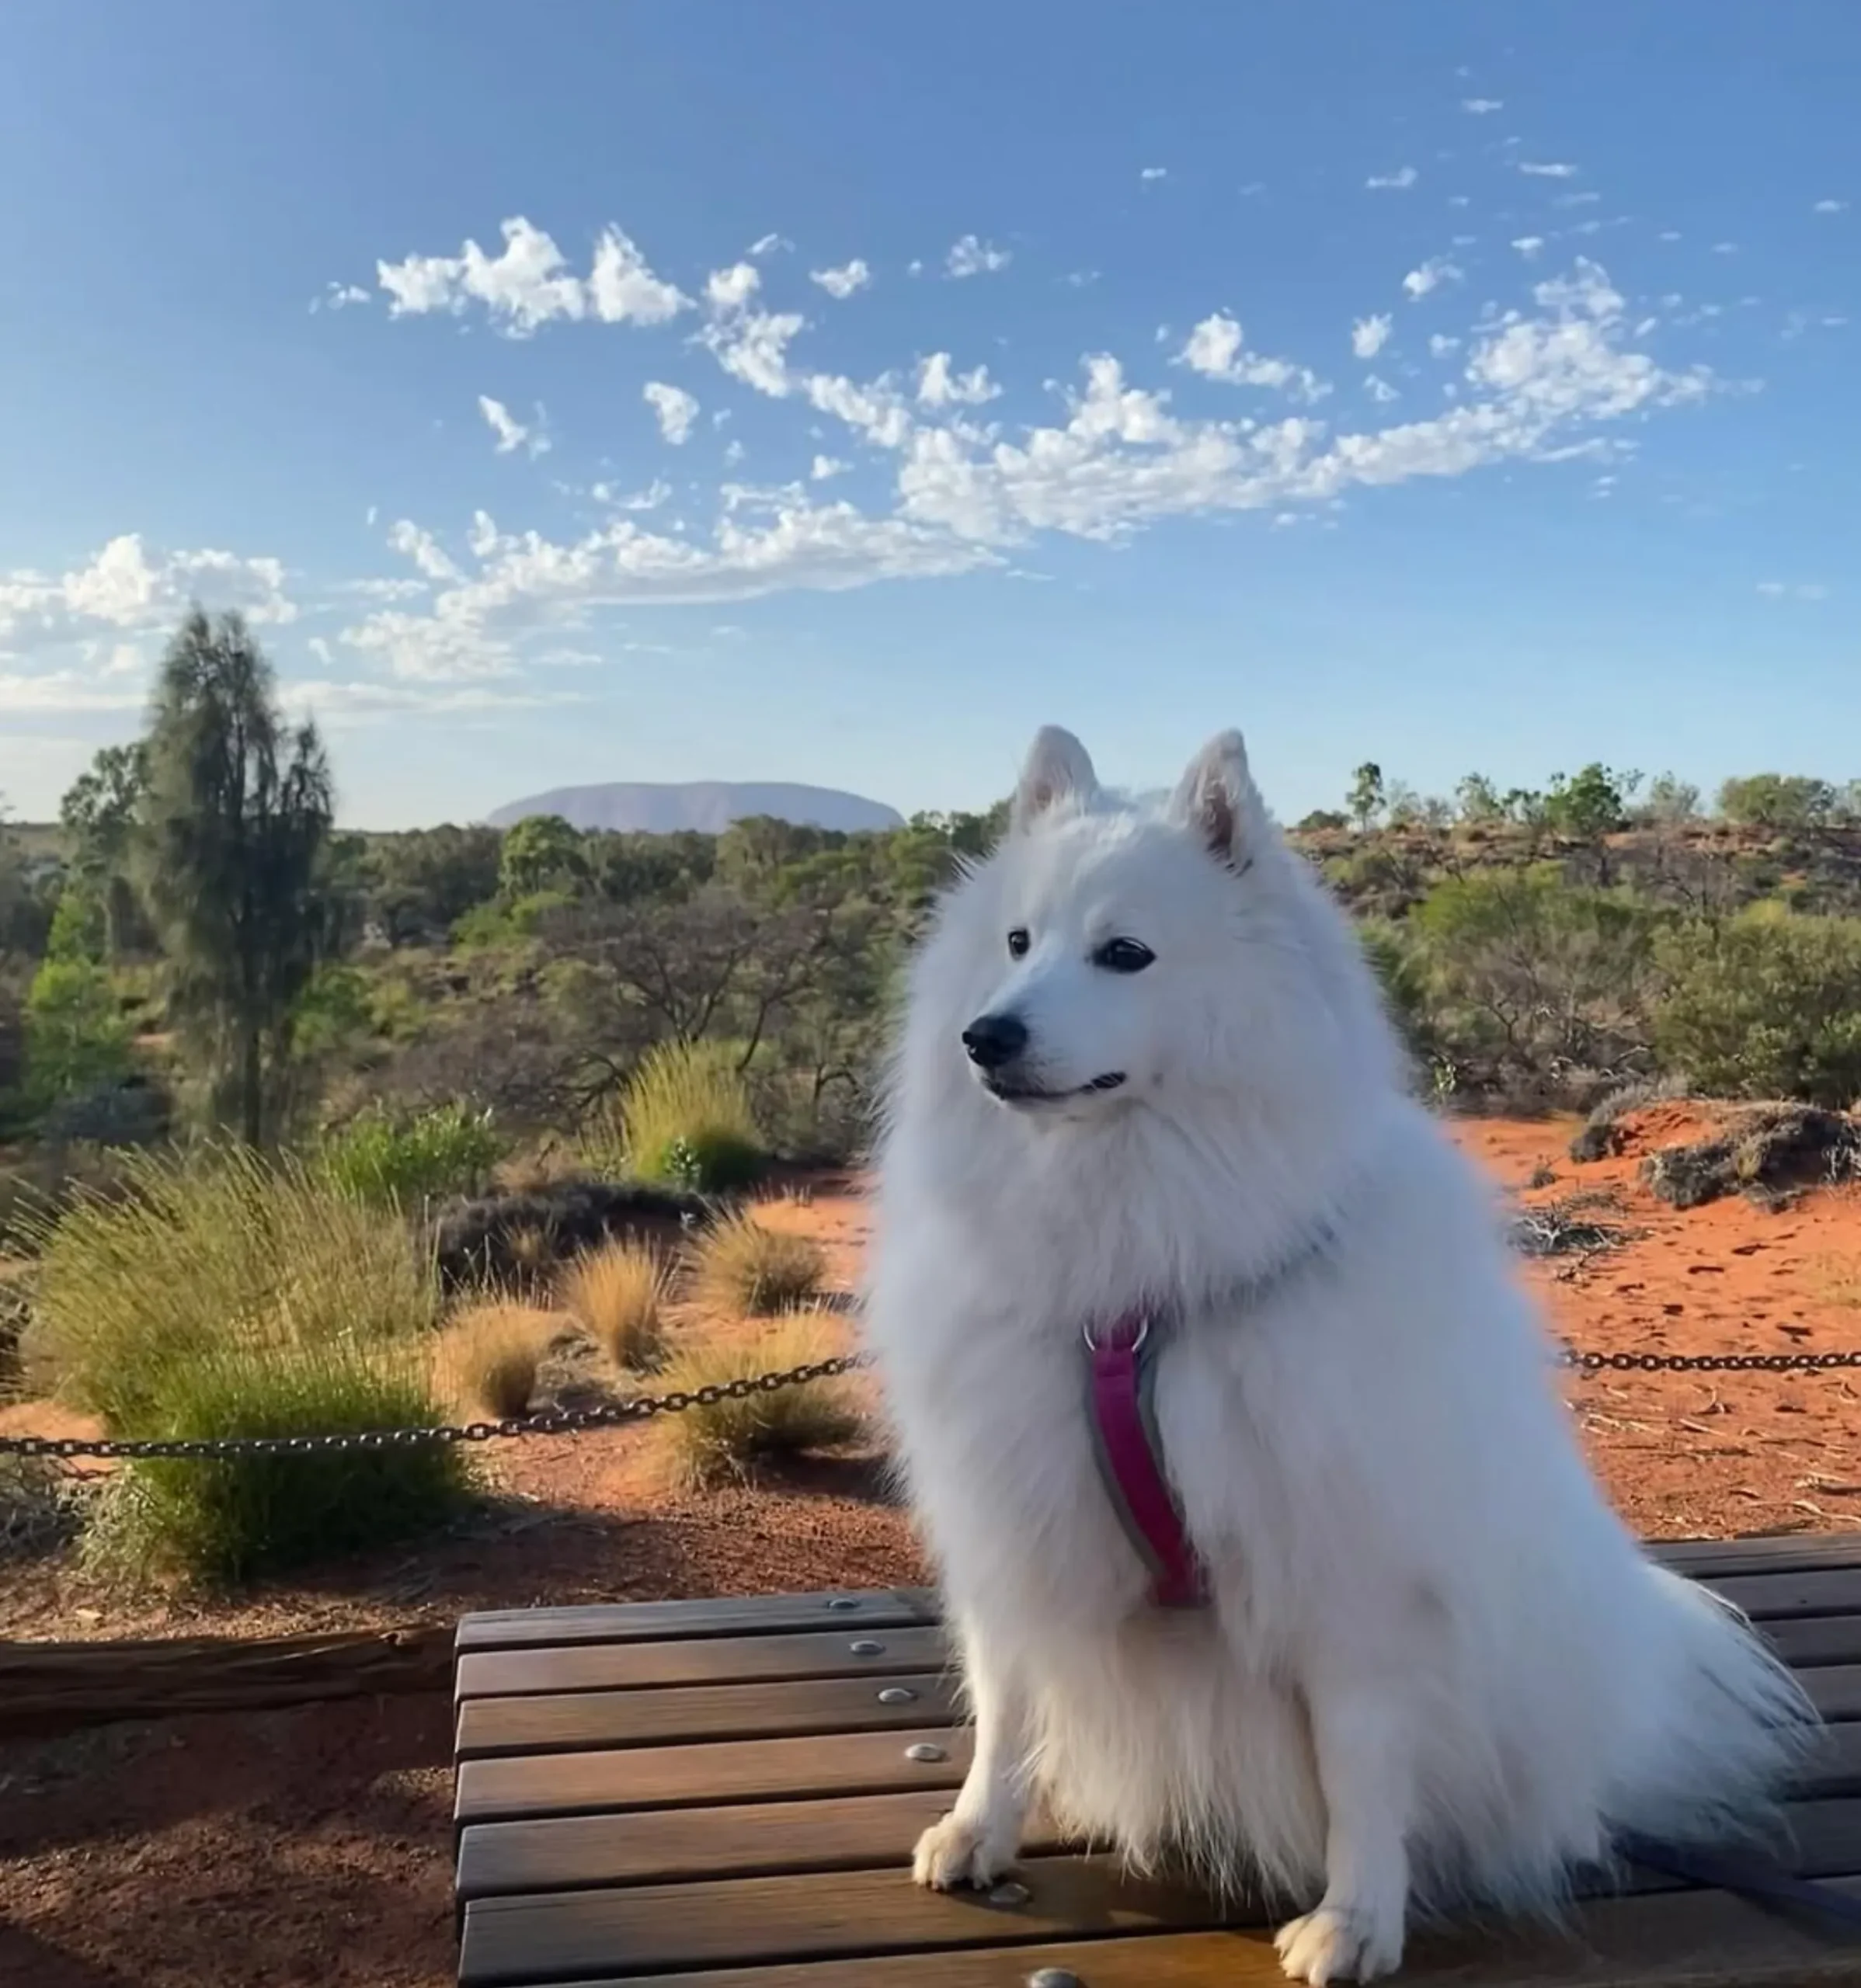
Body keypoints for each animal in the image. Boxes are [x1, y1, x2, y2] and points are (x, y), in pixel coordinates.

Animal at [862, 732, 1821, 1988]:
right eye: (1017, 944)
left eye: (1124, 954)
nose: (988, 1035)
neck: (1137, 1295)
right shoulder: (1022, 1525)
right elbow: (1008, 1703)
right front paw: (981, 1830)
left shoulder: (1351, 1584)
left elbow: (1358, 1772)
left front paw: (1356, 1920)